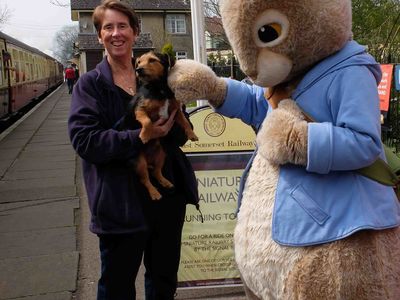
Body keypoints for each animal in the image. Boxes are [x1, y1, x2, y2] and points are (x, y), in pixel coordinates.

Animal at [115, 52, 197, 200]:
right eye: (139, 62)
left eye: (152, 60)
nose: (138, 70)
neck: (159, 88)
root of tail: (148, 161)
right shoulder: (140, 110)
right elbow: (147, 121)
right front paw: (144, 135)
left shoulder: (175, 110)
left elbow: (185, 122)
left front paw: (192, 135)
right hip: (140, 162)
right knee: (145, 179)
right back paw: (154, 193)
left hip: (161, 154)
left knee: (157, 172)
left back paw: (166, 182)